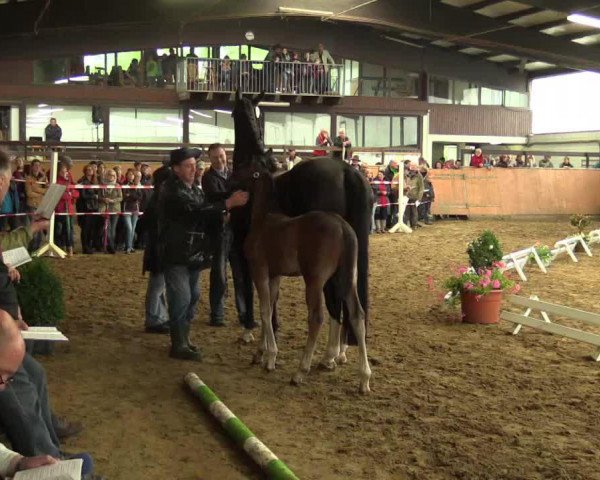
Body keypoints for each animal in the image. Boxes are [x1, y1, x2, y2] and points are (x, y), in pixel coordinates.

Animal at [245, 169, 370, 394]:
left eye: (242, 168)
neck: (263, 220)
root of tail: (343, 227)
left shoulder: (259, 271)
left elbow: (264, 311)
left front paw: (270, 357)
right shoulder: (275, 276)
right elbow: (269, 308)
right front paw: (262, 353)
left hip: (314, 282)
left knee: (317, 317)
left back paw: (301, 371)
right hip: (347, 279)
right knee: (357, 315)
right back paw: (364, 378)